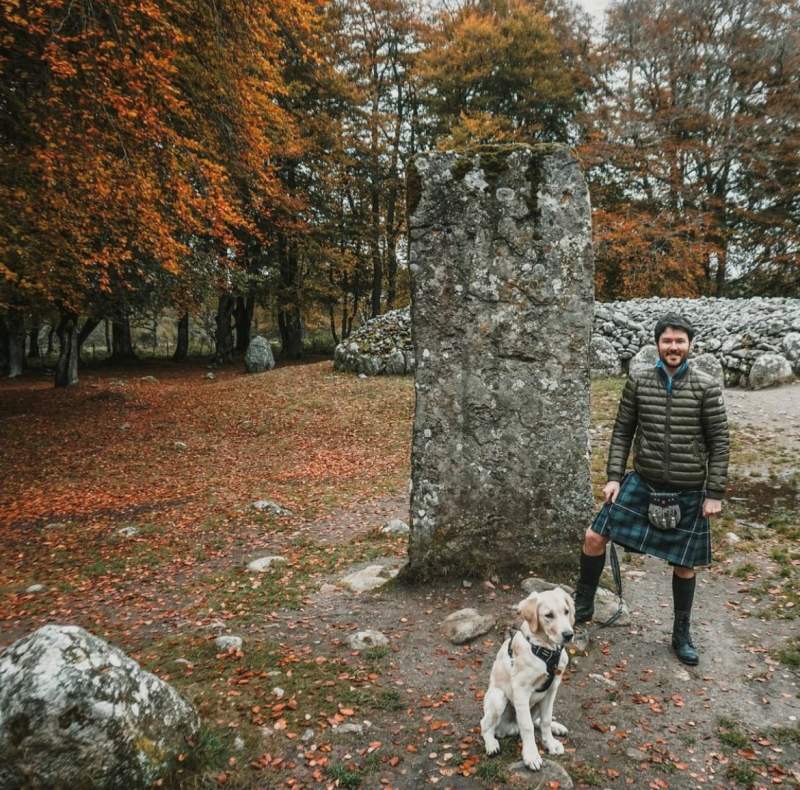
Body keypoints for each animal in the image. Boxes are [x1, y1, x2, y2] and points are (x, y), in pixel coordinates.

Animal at [482, 592, 576, 772]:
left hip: (539, 699)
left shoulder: (552, 689)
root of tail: (508, 729)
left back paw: (557, 727)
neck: (546, 649)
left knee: (537, 720)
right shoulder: (521, 691)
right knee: (485, 725)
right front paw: (531, 756)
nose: (569, 635)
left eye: (566, 611)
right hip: (498, 697)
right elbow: (527, 726)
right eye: (548, 615)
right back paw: (491, 744)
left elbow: (545, 720)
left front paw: (550, 743)